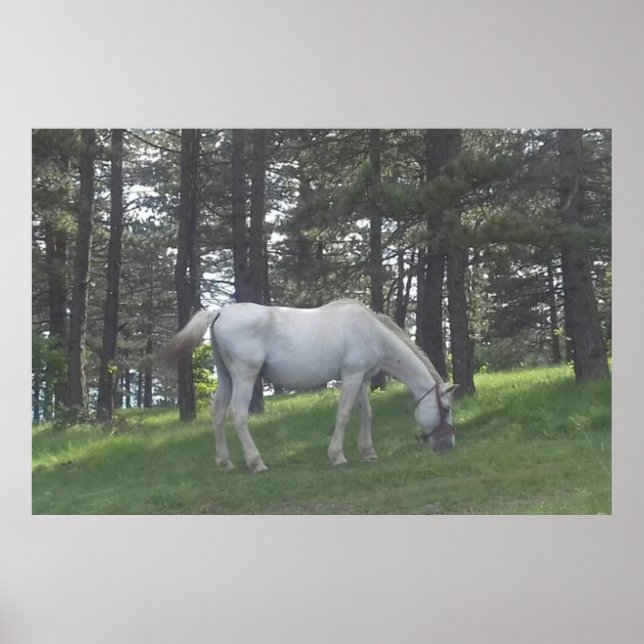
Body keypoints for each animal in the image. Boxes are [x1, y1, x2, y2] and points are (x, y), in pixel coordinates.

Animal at [162, 299, 457, 473]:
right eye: (446, 409)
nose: (448, 446)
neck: (372, 331)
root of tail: (220, 311)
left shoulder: (360, 377)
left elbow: (366, 413)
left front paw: (368, 452)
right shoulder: (350, 376)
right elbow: (344, 414)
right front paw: (337, 456)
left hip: (226, 377)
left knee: (217, 413)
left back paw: (225, 462)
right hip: (244, 376)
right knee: (237, 414)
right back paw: (256, 462)